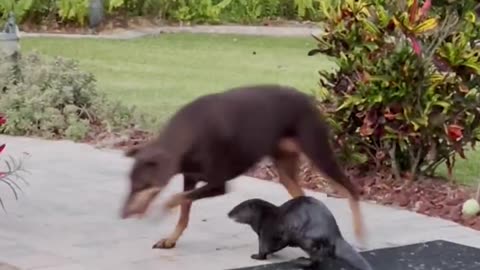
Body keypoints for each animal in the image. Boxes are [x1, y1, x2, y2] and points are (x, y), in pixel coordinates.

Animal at [120, 84, 364, 249]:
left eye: (140, 186)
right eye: (129, 184)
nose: (122, 214)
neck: (186, 137)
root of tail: (309, 99)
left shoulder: (218, 184)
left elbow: (178, 198)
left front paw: (163, 209)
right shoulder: (189, 177)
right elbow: (184, 209)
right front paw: (170, 240)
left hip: (318, 152)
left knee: (351, 189)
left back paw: (360, 234)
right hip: (285, 166)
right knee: (300, 195)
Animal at [227, 196, 374, 270]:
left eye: (237, 209)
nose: (228, 213)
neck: (264, 216)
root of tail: (335, 235)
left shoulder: (268, 231)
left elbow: (265, 247)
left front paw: (257, 256)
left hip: (307, 239)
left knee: (317, 259)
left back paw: (300, 261)